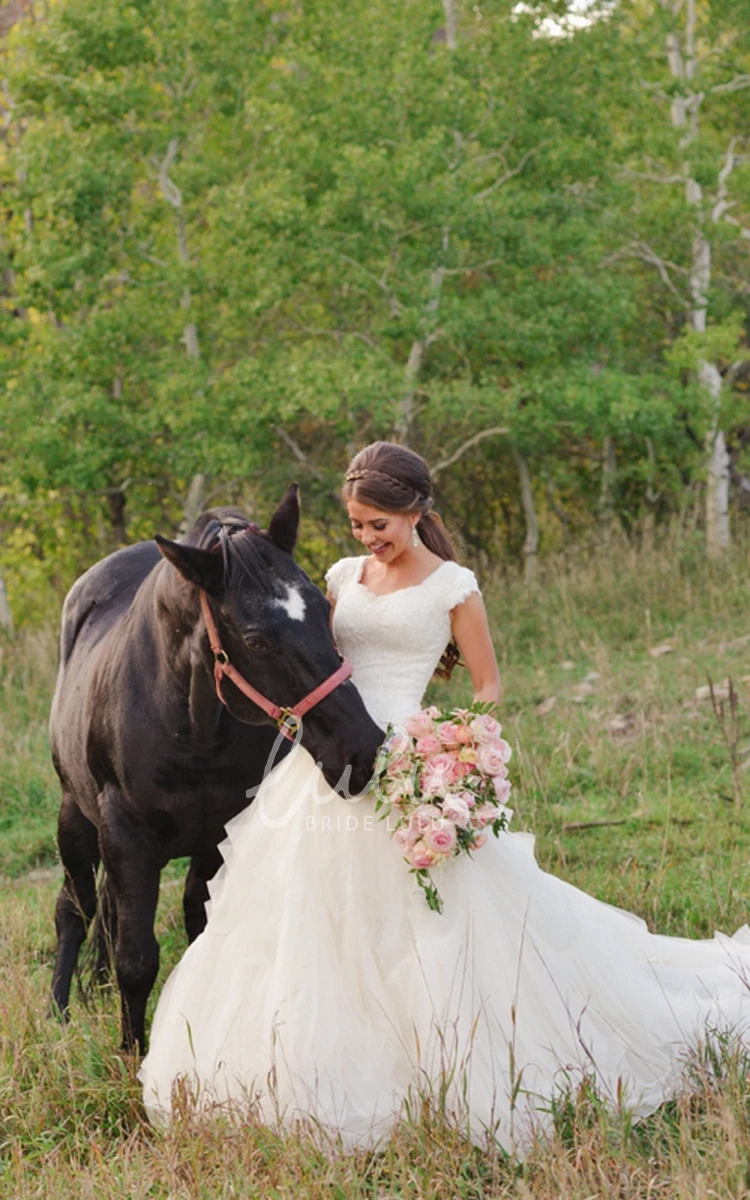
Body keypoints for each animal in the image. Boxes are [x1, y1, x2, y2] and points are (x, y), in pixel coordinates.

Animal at [49, 487, 384, 1051]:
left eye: (324, 608)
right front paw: (131, 1054)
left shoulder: (218, 835)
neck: (192, 730)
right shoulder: (127, 837)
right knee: (74, 909)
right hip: (75, 815)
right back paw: (58, 1013)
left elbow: (197, 931)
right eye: (255, 641)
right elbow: (135, 960)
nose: (363, 748)